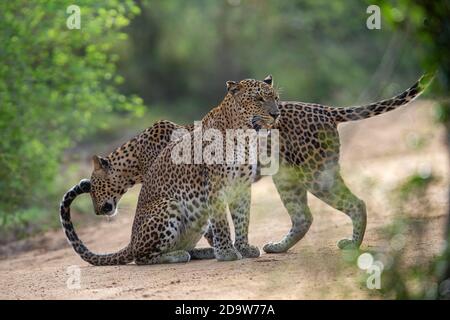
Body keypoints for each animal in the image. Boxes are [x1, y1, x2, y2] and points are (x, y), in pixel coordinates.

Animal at [59, 75, 278, 264]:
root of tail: (131, 241)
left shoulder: (241, 185)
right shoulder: (215, 186)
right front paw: (226, 252)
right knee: (141, 257)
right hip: (170, 204)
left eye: (275, 98)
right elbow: (221, 222)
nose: (276, 114)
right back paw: (180, 255)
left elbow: (242, 219)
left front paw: (243, 247)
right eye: (258, 99)